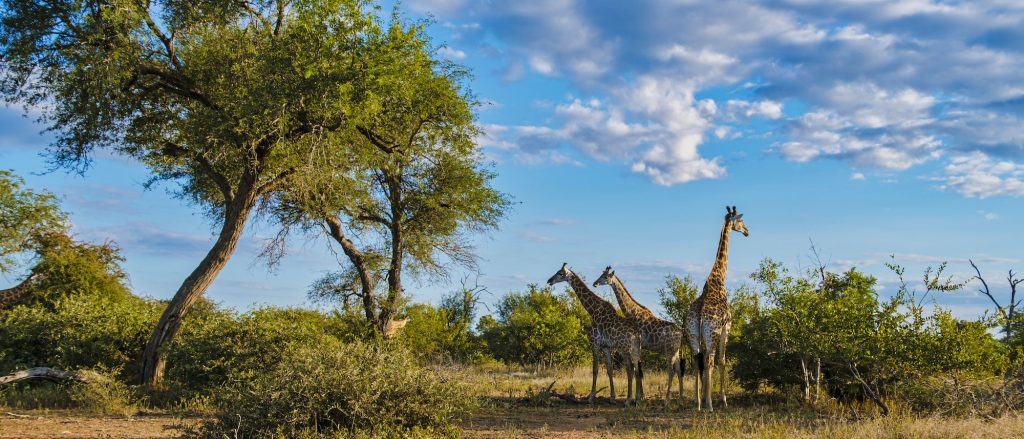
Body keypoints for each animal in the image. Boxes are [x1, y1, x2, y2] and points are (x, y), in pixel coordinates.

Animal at [548, 261, 643, 401]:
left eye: (560, 273)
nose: (549, 280)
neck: (592, 310)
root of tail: (636, 334)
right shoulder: (605, 346)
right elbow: (609, 369)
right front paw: (612, 397)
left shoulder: (594, 342)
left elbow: (595, 369)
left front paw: (591, 396)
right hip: (635, 348)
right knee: (637, 368)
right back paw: (638, 398)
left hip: (625, 347)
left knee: (630, 369)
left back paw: (628, 399)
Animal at [593, 266, 688, 401]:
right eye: (601, 274)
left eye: (605, 277)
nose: (595, 284)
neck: (632, 312)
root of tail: (681, 333)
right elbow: (638, 368)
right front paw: (640, 396)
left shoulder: (639, 344)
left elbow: (637, 368)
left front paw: (639, 396)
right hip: (676, 350)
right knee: (679, 369)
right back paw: (680, 397)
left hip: (670, 350)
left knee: (671, 370)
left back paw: (667, 399)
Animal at [688, 205, 753, 411]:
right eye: (740, 221)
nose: (747, 232)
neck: (718, 278)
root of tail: (700, 314)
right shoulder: (727, 327)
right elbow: (723, 361)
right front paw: (723, 400)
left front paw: (703, 398)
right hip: (712, 333)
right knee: (710, 360)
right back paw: (709, 404)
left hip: (692, 333)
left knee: (697, 359)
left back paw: (697, 402)